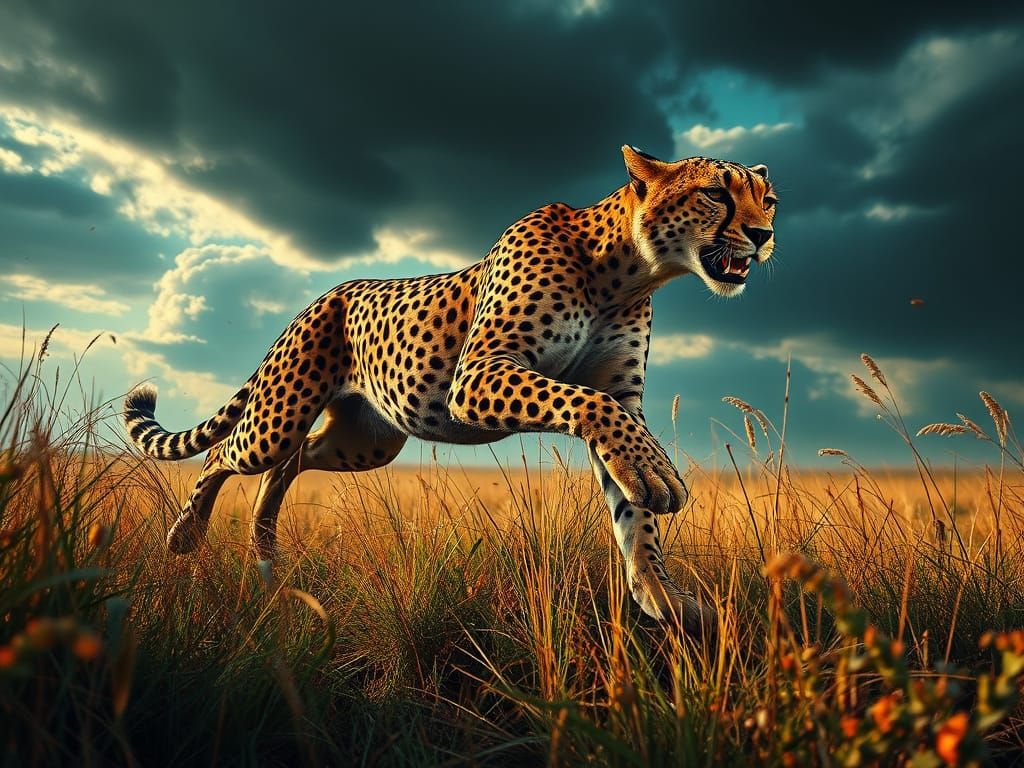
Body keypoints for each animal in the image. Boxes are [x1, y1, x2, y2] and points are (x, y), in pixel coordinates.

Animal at [124, 146, 777, 634]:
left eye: (767, 199)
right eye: (716, 193)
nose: (764, 233)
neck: (628, 272)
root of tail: (323, 295)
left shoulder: (623, 400)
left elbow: (633, 510)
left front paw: (661, 596)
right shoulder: (480, 373)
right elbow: (587, 406)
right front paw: (658, 475)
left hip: (366, 441)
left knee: (289, 463)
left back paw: (266, 549)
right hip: (278, 416)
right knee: (226, 453)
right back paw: (187, 534)